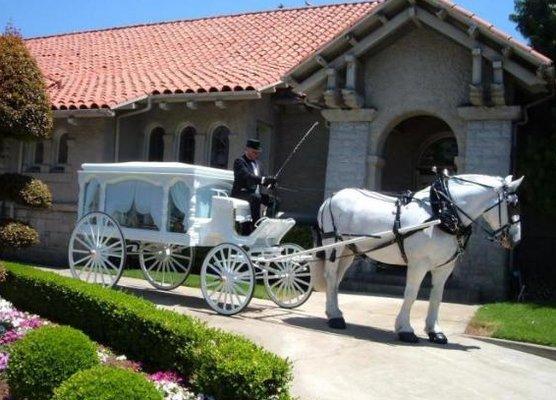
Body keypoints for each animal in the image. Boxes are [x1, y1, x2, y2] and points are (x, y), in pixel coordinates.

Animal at [314, 175, 524, 344]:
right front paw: (405, 330)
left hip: (349, 251)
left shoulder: (444, 267)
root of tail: (331, 198)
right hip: (334, 246)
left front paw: (435, 332)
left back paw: (335, 313)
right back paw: (335, 319)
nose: (515, 239)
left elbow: (437, 297)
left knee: (336, 280)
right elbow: (411, 294)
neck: (442, 213)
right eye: (512, 204)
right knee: (331, 277)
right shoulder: (419, 264)